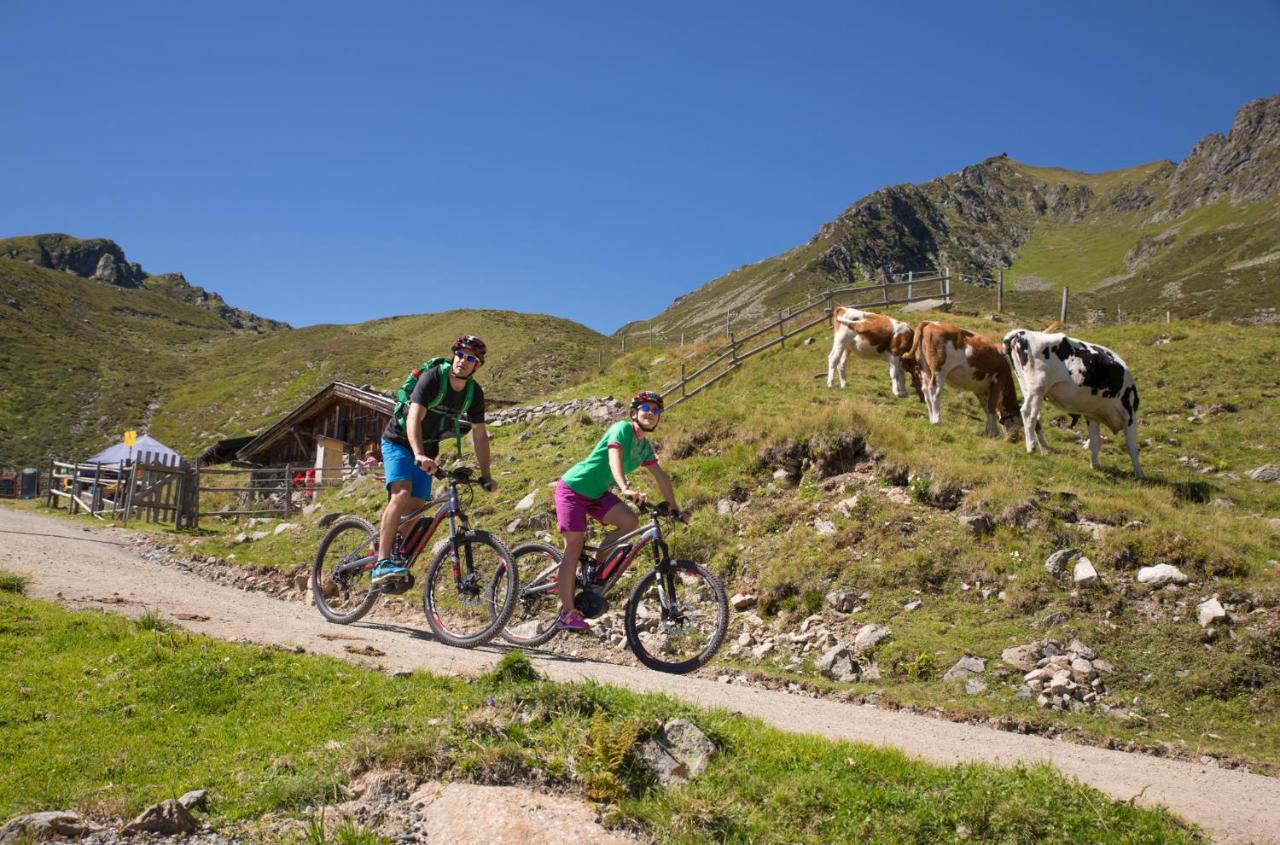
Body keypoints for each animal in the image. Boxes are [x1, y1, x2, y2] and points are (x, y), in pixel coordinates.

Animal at [993, 327, 1146, 476]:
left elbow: (1096, 441)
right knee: (1028, 414)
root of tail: (1021, 332)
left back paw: (1044, 449)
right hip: (1038, 388)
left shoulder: (1092, 414)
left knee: (1036, 417)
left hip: (1027, 387)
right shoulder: (1130, 416)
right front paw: (1139, 474)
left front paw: (1095, 465)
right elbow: (1132, 446)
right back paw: (1031, 447)